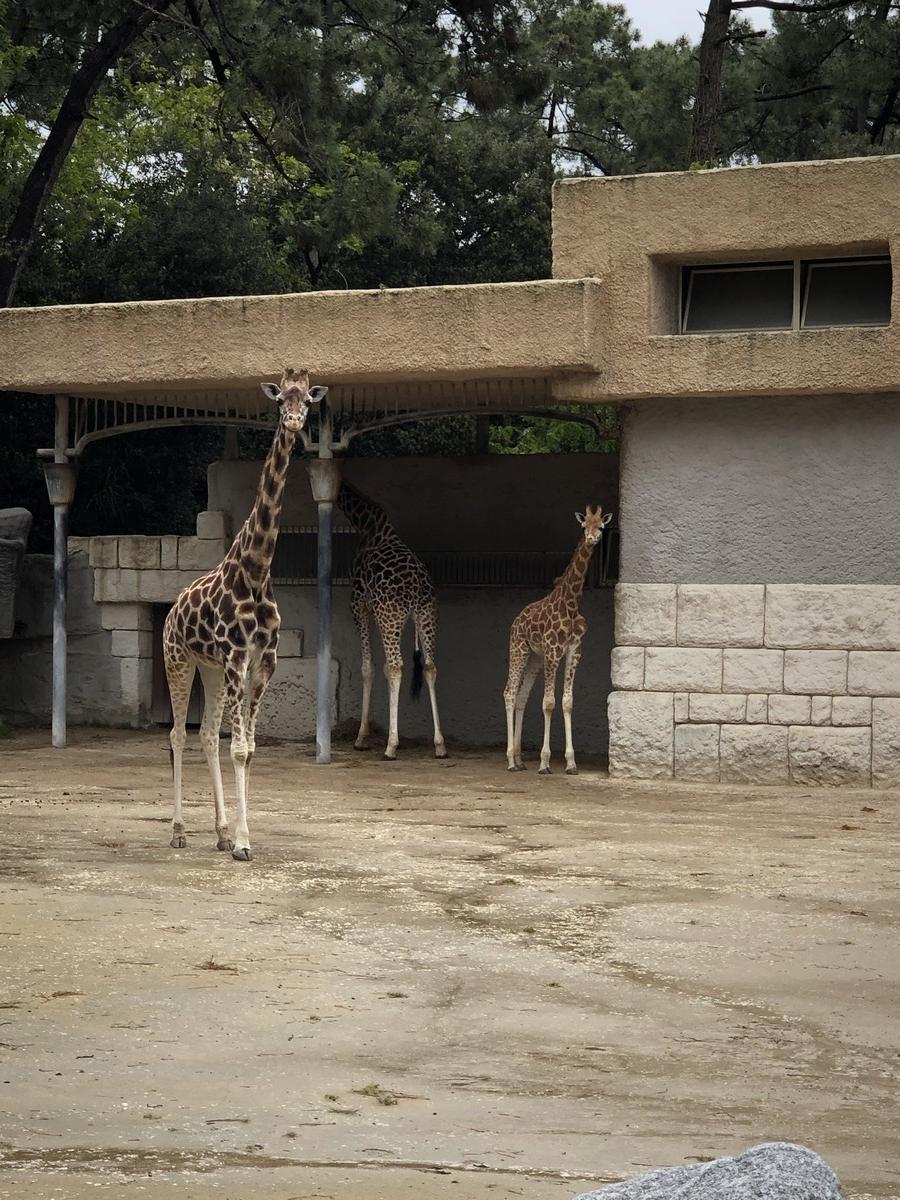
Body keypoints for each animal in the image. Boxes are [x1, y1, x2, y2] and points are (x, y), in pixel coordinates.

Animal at [164, 367, 328, 864]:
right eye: (279, 401)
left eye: (307, 401)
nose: (293, 421)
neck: (255, 570)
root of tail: (171, 610)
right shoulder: (238, 656)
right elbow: (238, 748)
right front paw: (242, 842)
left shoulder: (263, 660)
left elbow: (248, 747)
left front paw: (237, 835)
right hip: (179, 660)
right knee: (178, 735)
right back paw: (178, 831)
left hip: (211, 669)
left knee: (205, 735)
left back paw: (216, 832)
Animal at [338, 477, 448, 758]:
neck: (367, 523)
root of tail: (416, 587)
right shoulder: (377, 611)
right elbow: (385, 668)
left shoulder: (359, 604)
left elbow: (369, 667)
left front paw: (362, 737)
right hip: (425, 615)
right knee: (430, 666)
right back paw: (440, 744)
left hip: (391, 615)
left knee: (397, 665)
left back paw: (391, 746)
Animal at [504, 506, 619, 777]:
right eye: (584, 526)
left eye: (601, 526)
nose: (591, 539)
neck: (571, 604)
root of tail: (516, 620)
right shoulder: (552, 650)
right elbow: (548, 703)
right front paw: (545, 763)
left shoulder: (574, 651)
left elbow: (567, 702)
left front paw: (571, 763)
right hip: (519, 649)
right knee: (509, 693)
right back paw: (510, 761)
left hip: (534, 658)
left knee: (521, 696)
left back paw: (520, 759)